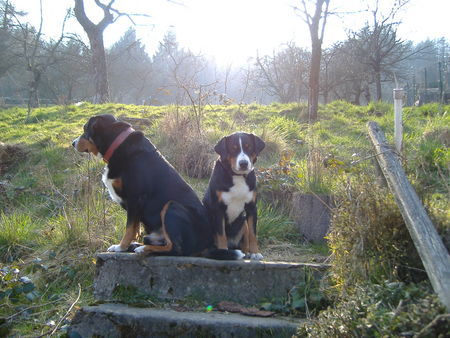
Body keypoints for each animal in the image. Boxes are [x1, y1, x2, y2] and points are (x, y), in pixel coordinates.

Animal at [71, 113, 243, 258]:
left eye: (85, 129)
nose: (73, 143)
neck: (118, 145)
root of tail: (206, 244)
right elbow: (135, 228)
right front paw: (126, 246)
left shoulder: (135, 197)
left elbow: (129, 228)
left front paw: (121, 247)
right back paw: (138, 245)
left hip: (171, 206)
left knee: (176, 249)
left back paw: (143, 249)